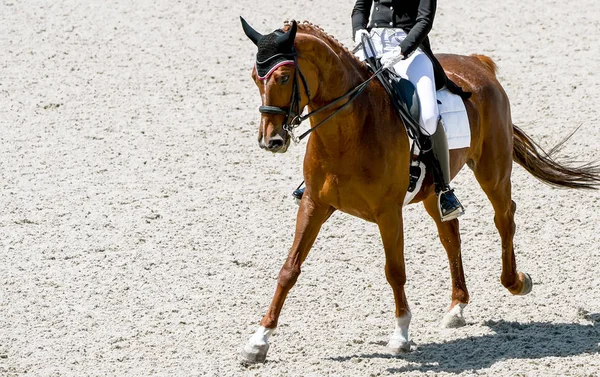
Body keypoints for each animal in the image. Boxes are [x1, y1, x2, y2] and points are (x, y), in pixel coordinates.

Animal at [239, 19, 600, 362]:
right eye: (255, 78)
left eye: (284, 77)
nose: (271, 140)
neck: (349, 129)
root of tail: (478, 63)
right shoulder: (314, 204)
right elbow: (289, 269)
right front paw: (258, 341)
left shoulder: (388, 213)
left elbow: (395, 271)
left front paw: (401, 335)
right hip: (433, 192)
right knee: (450, 232)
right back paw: (457, 307)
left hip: (492, 171)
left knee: (504, 217)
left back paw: (516, 282)